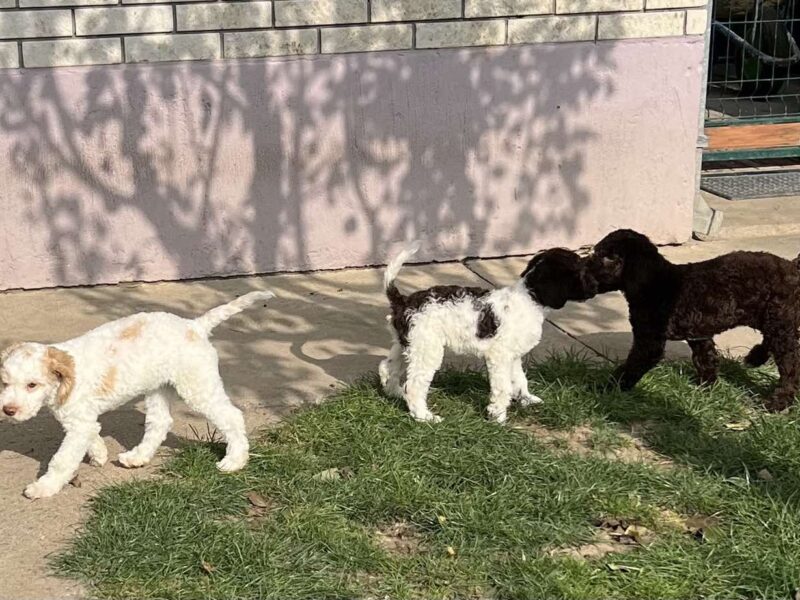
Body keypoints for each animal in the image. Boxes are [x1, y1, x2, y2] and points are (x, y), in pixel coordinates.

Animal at [0, 292, 272, 500]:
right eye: (5, 383)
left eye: (32, 385)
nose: (8, 410)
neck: (64, 380)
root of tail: (195, 325)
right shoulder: (81, 422)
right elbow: (93, 434)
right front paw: (99, 454)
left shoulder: (78, 424)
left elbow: (62, 460)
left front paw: (43, 487)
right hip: (158, 387)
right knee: (160, 422)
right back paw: (137, 457)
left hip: (197, 386)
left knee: (232, 416)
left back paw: (235, 460)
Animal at [378, 241, 596, 424]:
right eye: (579, 271)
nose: (595, 288)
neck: (530, 299)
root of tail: (403, 302)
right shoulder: (499, 357)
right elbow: (503, 387)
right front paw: (498, 416)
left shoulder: (513, 356)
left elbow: (519, 379)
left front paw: (526, 399)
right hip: (427, 349)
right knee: (414, 385)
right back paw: (424, 416)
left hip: (407, 345)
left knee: (387, 368)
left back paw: (396, 394)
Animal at [588, 227, 800, 410]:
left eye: (606, 256)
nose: (585, 269)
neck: (656, 282)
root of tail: (791, 266)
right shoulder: (699, 332)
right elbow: (706, 358)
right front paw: (708, 386)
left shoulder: (649, 343)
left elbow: (630, 367)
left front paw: (606, 388)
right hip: (774, 320)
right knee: (771, 343)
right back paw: (755, 358)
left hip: (779, 322)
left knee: (790, 364)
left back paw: (779, 401)